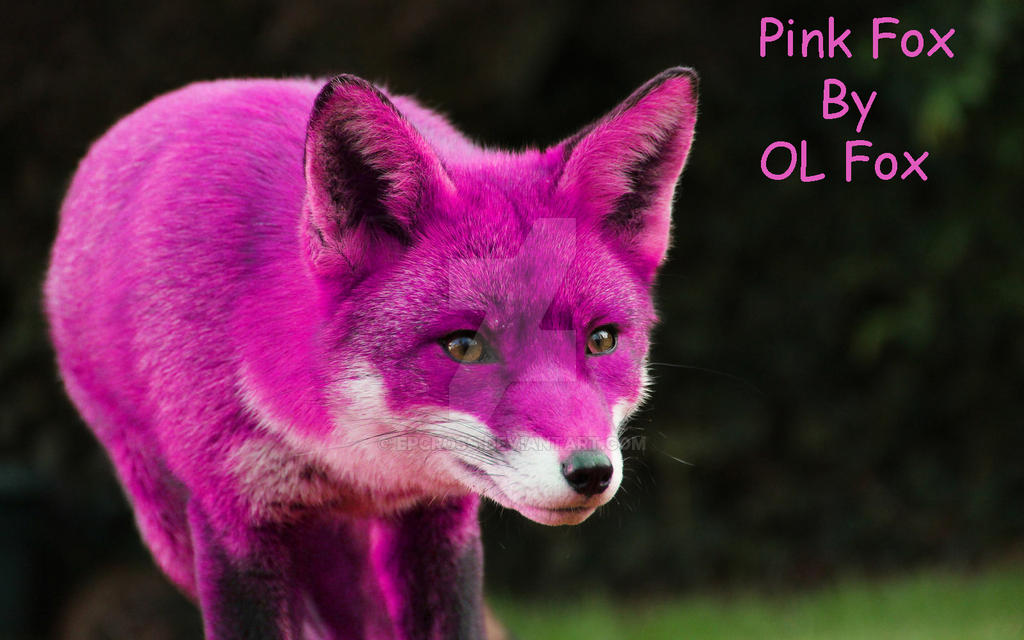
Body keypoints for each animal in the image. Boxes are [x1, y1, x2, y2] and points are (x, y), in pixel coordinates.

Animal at [44, 67, 698, 639]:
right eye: (464, 346)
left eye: (601, 340)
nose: (590, 472)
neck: (354, 461)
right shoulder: (236, 519)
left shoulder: (438, 516)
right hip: (172, 530)